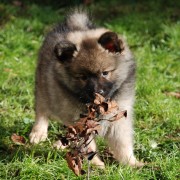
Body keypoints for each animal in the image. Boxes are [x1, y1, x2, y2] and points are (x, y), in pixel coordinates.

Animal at [29, 8, 143, 168]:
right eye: (83, 77)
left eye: (105, 73)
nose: (97, 92)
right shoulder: (79, 121)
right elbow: (87, 146)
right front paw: (97, 165)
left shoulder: (119, 117)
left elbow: (122, 144)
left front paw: (131, 163)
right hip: (44, 89)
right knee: (42, 110)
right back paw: (38, 133)